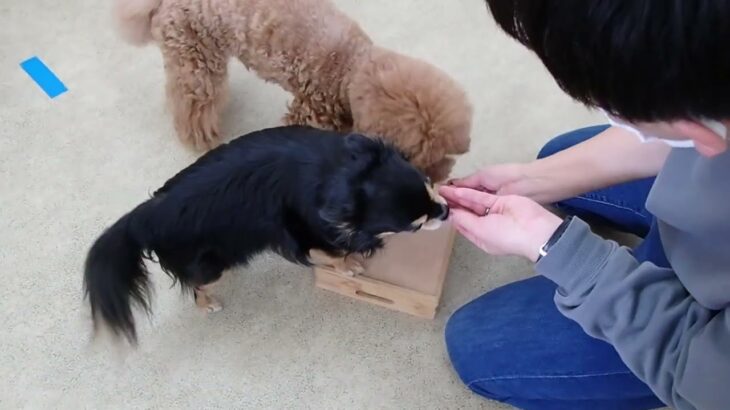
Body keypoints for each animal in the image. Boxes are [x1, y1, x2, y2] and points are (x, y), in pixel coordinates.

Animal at [85, 125, 450, 342]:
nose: (446, 212)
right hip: (214, 265)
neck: (340, 175)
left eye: (429, 185)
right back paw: (207, 304)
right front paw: (349, 264)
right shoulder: (304, 233)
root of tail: (145, 216)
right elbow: (331, 252)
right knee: (197, 285)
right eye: (415, 224)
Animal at [111, 0, 470, 181]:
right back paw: (199, 136)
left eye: (446, 155)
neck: (351, 67)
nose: (439, 179)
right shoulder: (310, 113)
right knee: (192, 102)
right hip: (196, 58)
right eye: (413, 157)